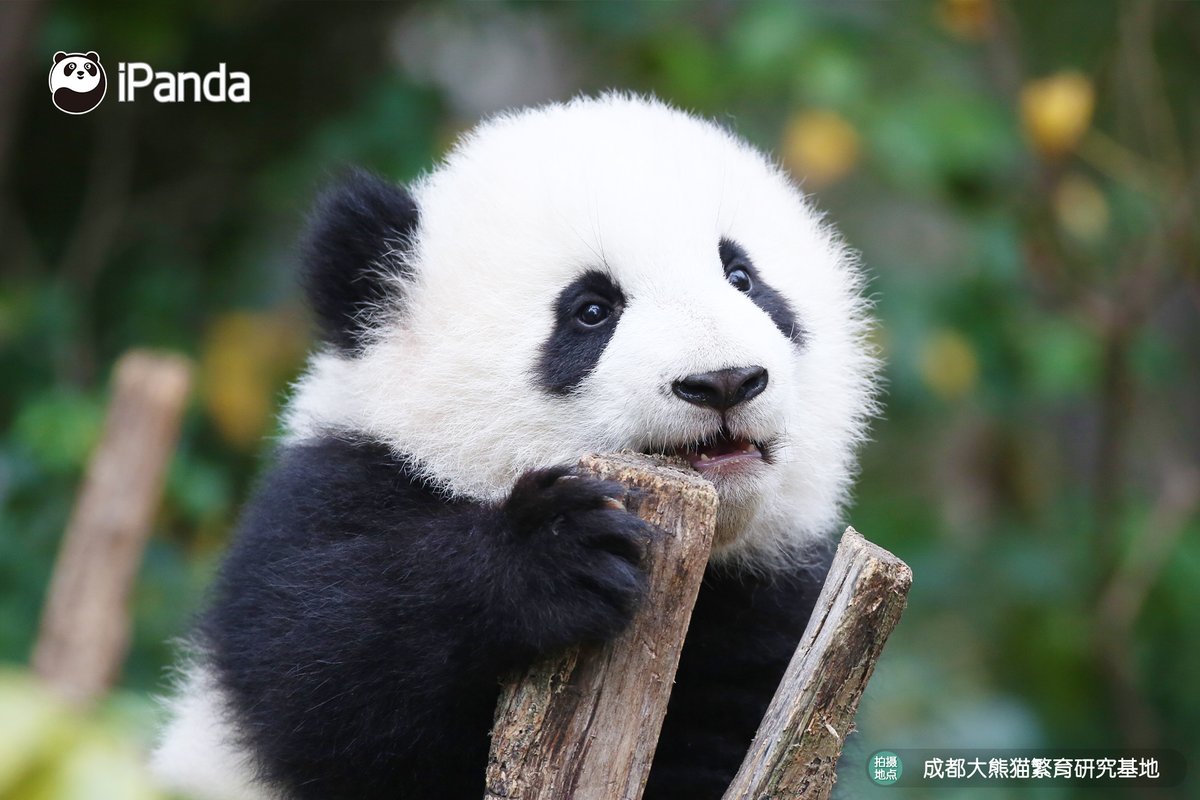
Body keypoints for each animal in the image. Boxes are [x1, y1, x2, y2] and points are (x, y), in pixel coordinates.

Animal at [152, 94, 878, 800]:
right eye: (591, 311)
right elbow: (323, 662)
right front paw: (553, 556)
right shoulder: (335, 489)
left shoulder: (764, 600)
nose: (724, 380)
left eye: (742, 278)